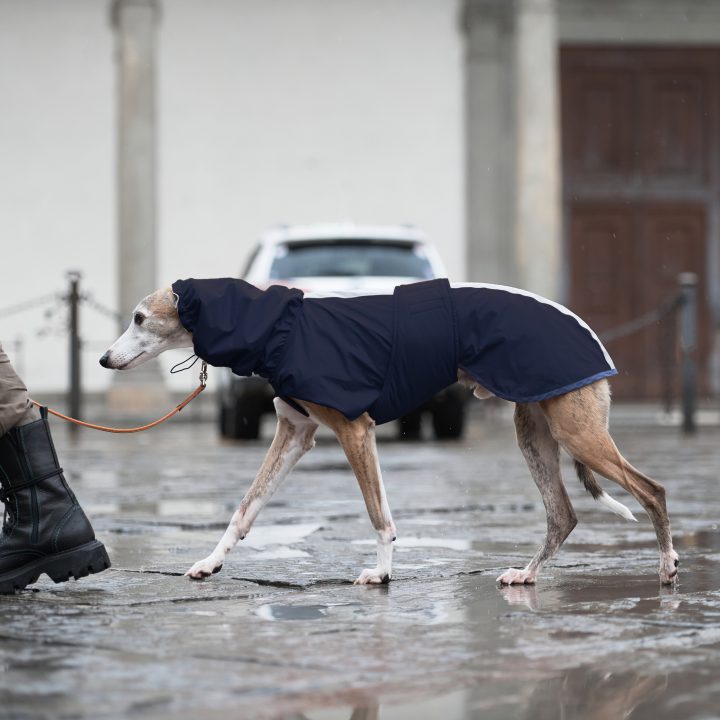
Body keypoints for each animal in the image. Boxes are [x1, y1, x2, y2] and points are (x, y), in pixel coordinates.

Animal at [101, 278, 680, 584]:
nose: (104, 359)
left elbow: (378, 515)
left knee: (653, 489)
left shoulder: (355, 430)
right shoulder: (295, 433)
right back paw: (527, 573)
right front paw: (210, 561)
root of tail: (585, 326)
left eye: (138, 318)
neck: (278, 330)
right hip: (534, 430)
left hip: (577, 433)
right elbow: (246, 508)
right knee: (563, 514)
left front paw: (380, 572)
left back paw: (667, 564)